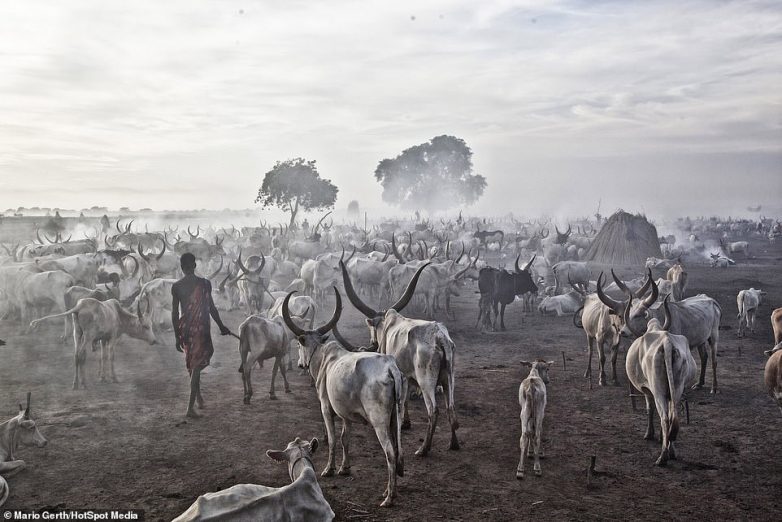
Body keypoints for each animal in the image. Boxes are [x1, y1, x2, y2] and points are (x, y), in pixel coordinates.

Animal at [284, 286, 408, 506]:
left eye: (299, 345)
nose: (300, 364)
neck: (324, 357)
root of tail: (390, 366)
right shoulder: (345, 414)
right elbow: (345, 438)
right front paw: (345, 468)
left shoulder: (326, 407)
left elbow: (333, 438)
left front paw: (329, 469)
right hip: (396, 416)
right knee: (397, 448)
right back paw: (388, 491)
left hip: (379, 421)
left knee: (390, 452)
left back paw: (389, 497)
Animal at [342, 260, 460, 456]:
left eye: (371, 327)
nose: (372, 341)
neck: (388, 325)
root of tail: (439, 337)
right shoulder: (407, 376)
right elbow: (405, 399)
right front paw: (406, 422)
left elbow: (403, 400)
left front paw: (404, 423)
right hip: (449, 377)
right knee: (450, 406)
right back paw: (454, 444)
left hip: (426, 381)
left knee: (433, 410)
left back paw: (424, 449)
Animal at [624, 296, 700, 464]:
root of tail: (667, 342)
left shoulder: (647, 390)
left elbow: (650, 409)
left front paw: (649, 434)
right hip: (677, 388)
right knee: (672, 417)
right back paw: (672, 451)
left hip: (658, 389)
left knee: (665, 418)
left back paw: (663, 457)